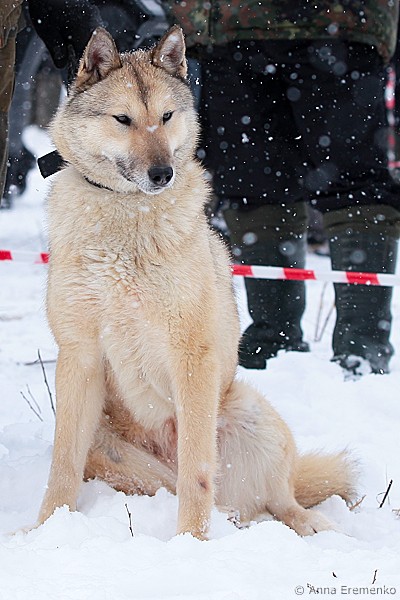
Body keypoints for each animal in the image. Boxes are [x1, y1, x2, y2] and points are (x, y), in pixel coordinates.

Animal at [39, 25, 356, 539]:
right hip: (111, 447)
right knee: (197, 492)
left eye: (166, 116)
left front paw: (190, 542)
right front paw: (46, 529)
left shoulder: (193, 357)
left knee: (278, 499)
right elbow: (62, 465)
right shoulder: (79, 356)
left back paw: (312, 526)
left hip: (249, 413)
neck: (127, 216)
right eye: (123, 119)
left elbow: (198, 472)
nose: (162, 173)